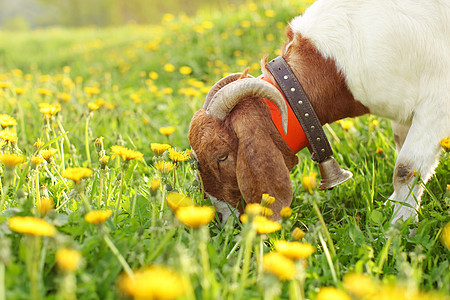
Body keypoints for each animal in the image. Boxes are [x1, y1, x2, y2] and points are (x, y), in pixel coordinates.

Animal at [188, 0, 450, 224]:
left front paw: (398, 225)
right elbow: (400, 145)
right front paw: (393, 206)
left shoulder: (436, 106)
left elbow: (405, 168)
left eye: (222, 156)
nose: (220, 218)